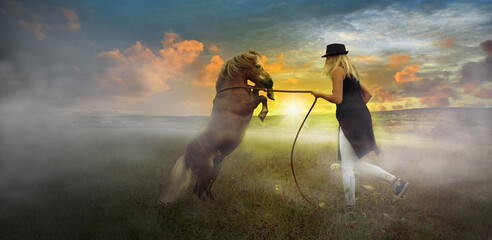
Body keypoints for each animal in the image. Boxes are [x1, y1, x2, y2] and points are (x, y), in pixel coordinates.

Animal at [162, 50, 274, 202]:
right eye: (257, 65)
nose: (271, 82)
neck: (231, 91)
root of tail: (187, 156)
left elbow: (260, 95)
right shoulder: (246, 107)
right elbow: (262, 98)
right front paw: (263, 114)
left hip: (215, 169)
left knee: (202, 189)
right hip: (206, 171)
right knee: (200, 188)